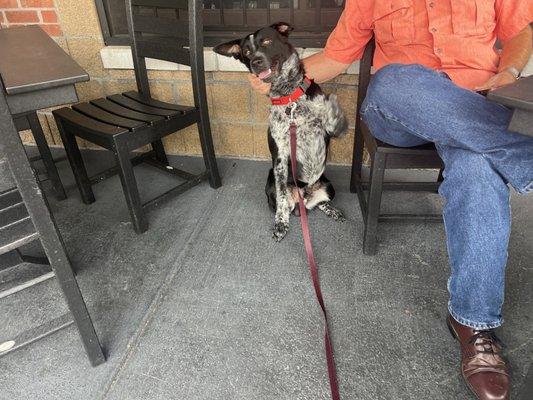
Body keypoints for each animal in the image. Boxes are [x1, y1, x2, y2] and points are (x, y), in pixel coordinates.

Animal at [214, 22, 348, 241]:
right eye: (246, 52)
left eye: (267, 41)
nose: (256, 61)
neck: (290, 97)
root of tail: (303, 198)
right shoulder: (280, 158)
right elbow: (283, 197)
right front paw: (280, 223)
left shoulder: (329, 131)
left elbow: (331, 117)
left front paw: (328, 107)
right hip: (271, 183)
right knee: (284, 203)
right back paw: (284, 217)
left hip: (328, 185)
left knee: (321, 203)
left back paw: (332, 211)